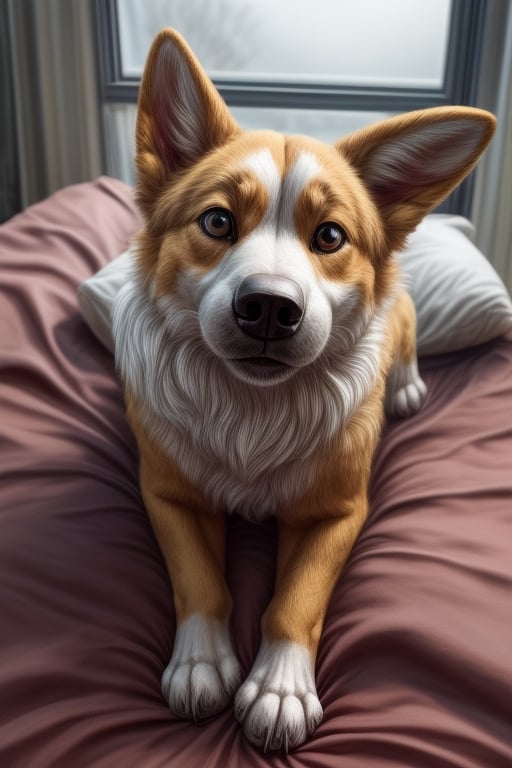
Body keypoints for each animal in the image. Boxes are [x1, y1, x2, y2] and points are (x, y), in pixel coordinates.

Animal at [110, 28, 494, 752]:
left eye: (330, 236)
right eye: (217, 223)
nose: (268, 308)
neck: (253, 407)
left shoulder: (337, 512)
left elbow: (296, 599)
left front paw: (279, 688)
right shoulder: (167, 492)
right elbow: (197, 577)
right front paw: (201, 662)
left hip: (403, 320)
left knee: (404, 334)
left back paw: (405, 386)